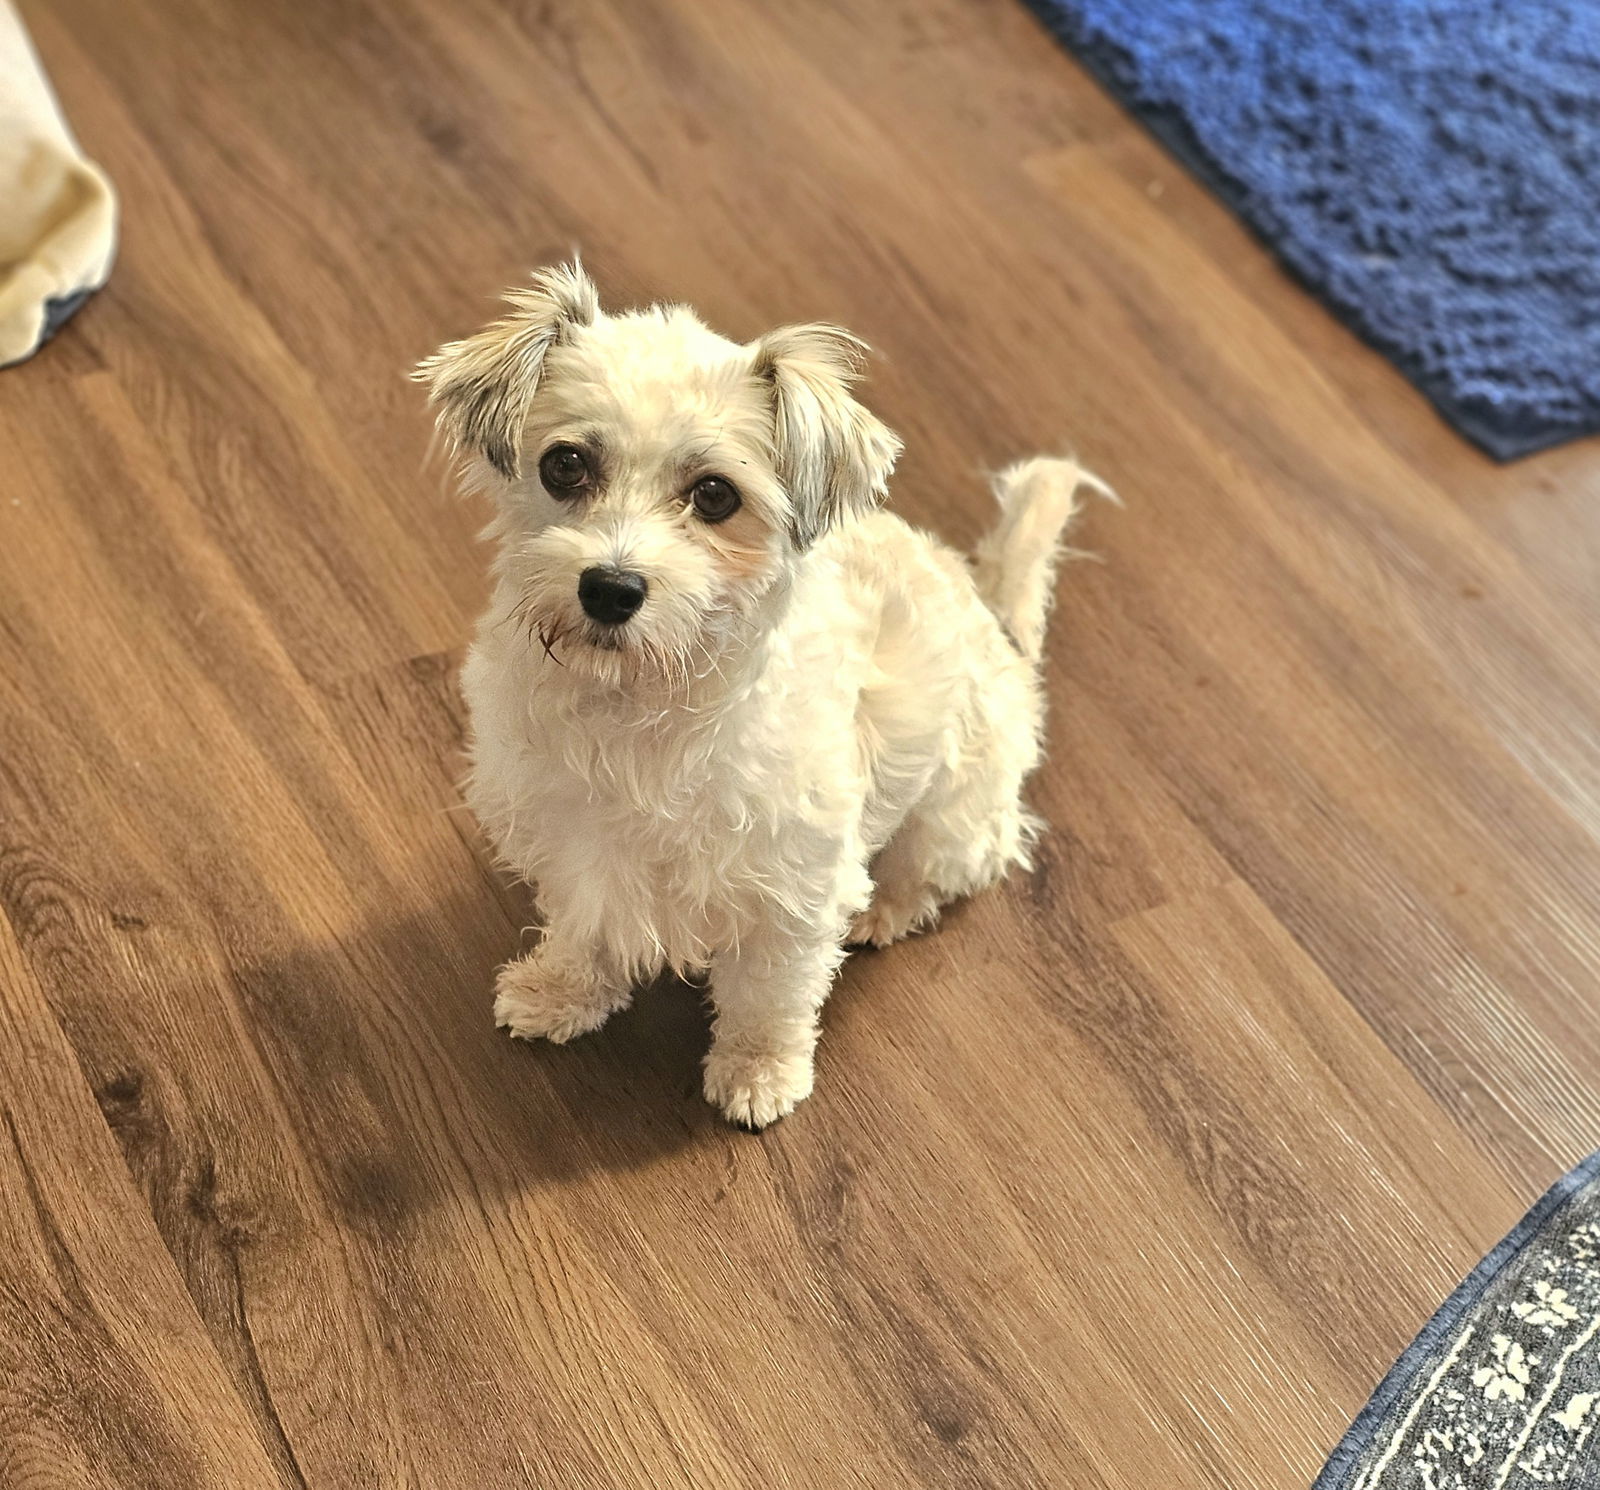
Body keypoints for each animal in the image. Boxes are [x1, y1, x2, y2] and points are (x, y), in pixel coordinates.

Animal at [419, 267, 1107, 1133]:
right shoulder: (574, 843)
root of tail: (992, 614)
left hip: (953, 815)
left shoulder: (792, 893)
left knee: (942, 867)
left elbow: (769, 1000)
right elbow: (583, 925)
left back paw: (886, 908)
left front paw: (758, 1073)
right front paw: (560, 991)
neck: (639, 708)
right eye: (565, 466)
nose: (610, 587)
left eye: (715, 495)